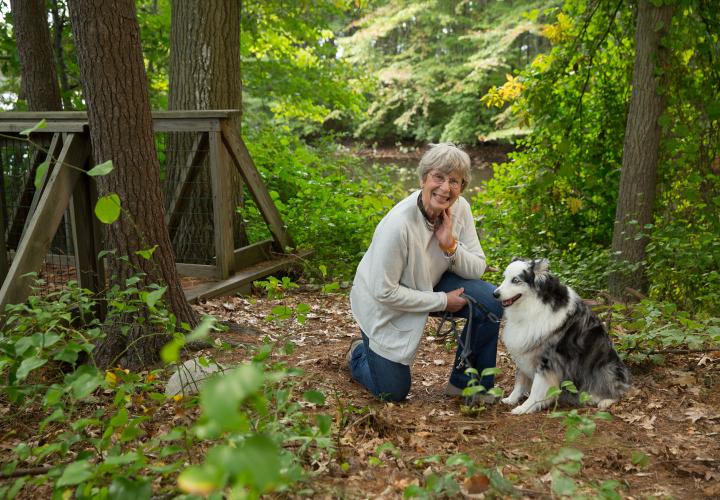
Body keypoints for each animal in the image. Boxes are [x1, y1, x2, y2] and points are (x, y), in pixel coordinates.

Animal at [492, 258, 628, 414]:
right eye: (504, 277)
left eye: (515, 280)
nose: (495, 294)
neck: (534, 305)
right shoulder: (524, 350)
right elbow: (520, 380)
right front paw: (511, 399)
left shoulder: (547, 360)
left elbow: (536, 388)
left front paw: (526, 407)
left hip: (607, 368)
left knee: (617, 390)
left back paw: (603, 400)